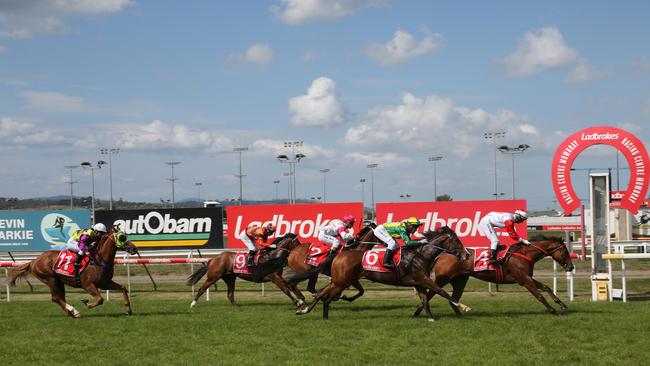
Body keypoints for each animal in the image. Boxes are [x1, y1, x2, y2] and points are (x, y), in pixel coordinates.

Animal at [8, 229, 138, 318]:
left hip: (58, 281)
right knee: (57, 297)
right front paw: (86, 303)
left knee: (57, 298)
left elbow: (123, 288)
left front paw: (128, 310)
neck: (99, 260)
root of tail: (34, 260)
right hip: (50, 279)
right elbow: (100, 299)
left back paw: (71, 312)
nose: (134, 249)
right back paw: (75, 312)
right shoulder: (88, 285)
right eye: (122, 237)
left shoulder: (105, 283)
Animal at [296, 226, 468, 320]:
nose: (466, 254)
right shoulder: (423, 279)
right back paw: (315, 311)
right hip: (341, 281)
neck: (420, 255)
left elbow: (425, 299)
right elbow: (441, 291)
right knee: (325, 295)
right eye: (456, 241)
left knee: (321, 293)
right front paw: (464, 306)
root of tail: (338, 255)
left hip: (340, 280)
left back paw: (310, 311)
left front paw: (430, 318)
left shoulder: (419, 282)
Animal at [412, 236, 576, 316]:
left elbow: (546, 287)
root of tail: (441, 255)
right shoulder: (524, 280)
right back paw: (418, 312)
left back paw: (461, 314)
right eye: (565, 251)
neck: (524, 255)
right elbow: (539, 295)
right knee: (431, 293)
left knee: (453, 299)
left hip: (460, 280)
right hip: (443, 278)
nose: (571, 267)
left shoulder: (527, 277)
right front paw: (553, 310)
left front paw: (562, 304)